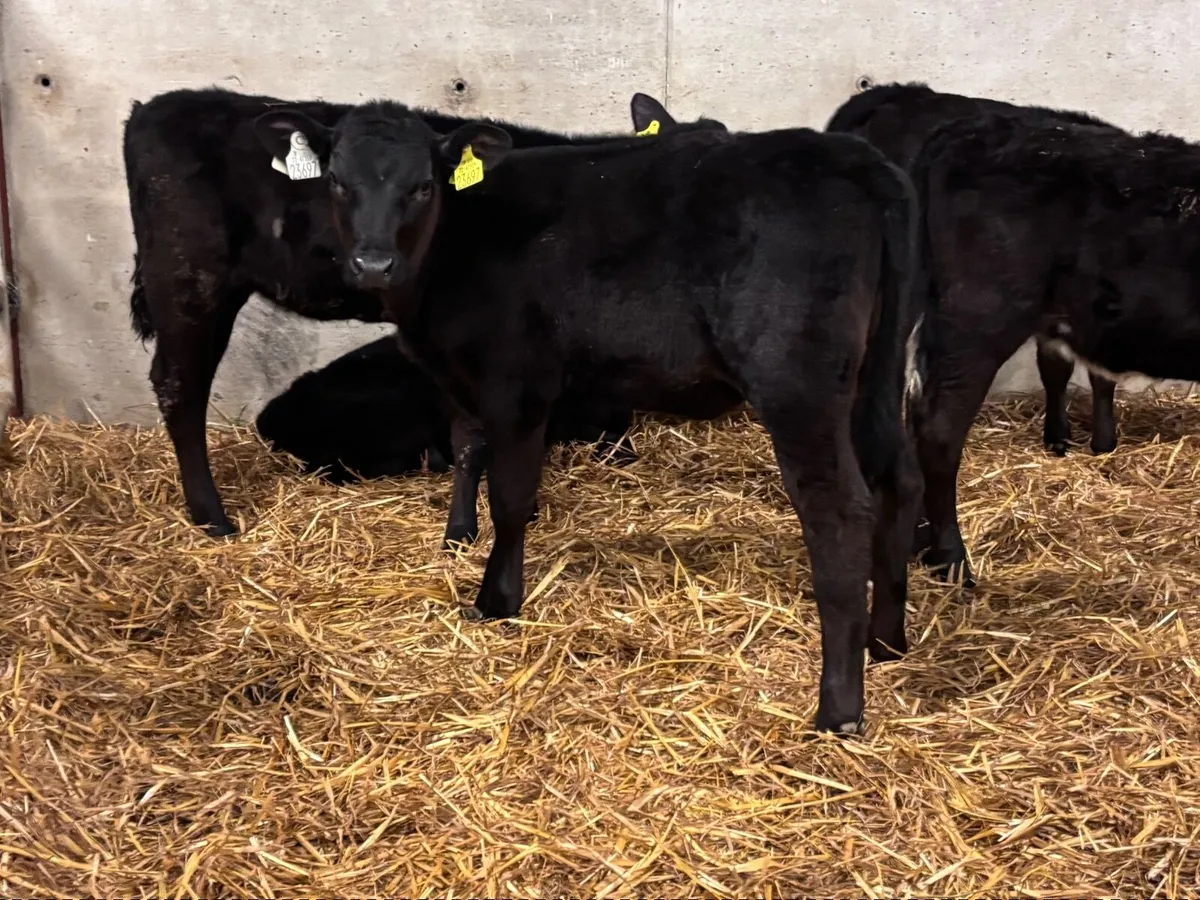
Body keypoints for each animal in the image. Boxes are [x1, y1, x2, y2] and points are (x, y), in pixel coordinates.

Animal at [122, 87, 724, 537]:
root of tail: (153, 108)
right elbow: (474, 434)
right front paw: (463, 531)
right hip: (188, 279)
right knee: (179, 387)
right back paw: (212, 517)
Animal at [248, 98, 926, 734]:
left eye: (421, 186)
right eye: (339, 181)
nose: (372, 264)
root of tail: (857, 159)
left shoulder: (516, 384)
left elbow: (512, 495)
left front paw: (497, 599)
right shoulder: (462, 381)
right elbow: (467, 448)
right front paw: (458, 536)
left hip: (797, 382)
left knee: (839, 510)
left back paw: (838, 707)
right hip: (877, 371)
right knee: (898, 479)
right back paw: (886, 641)